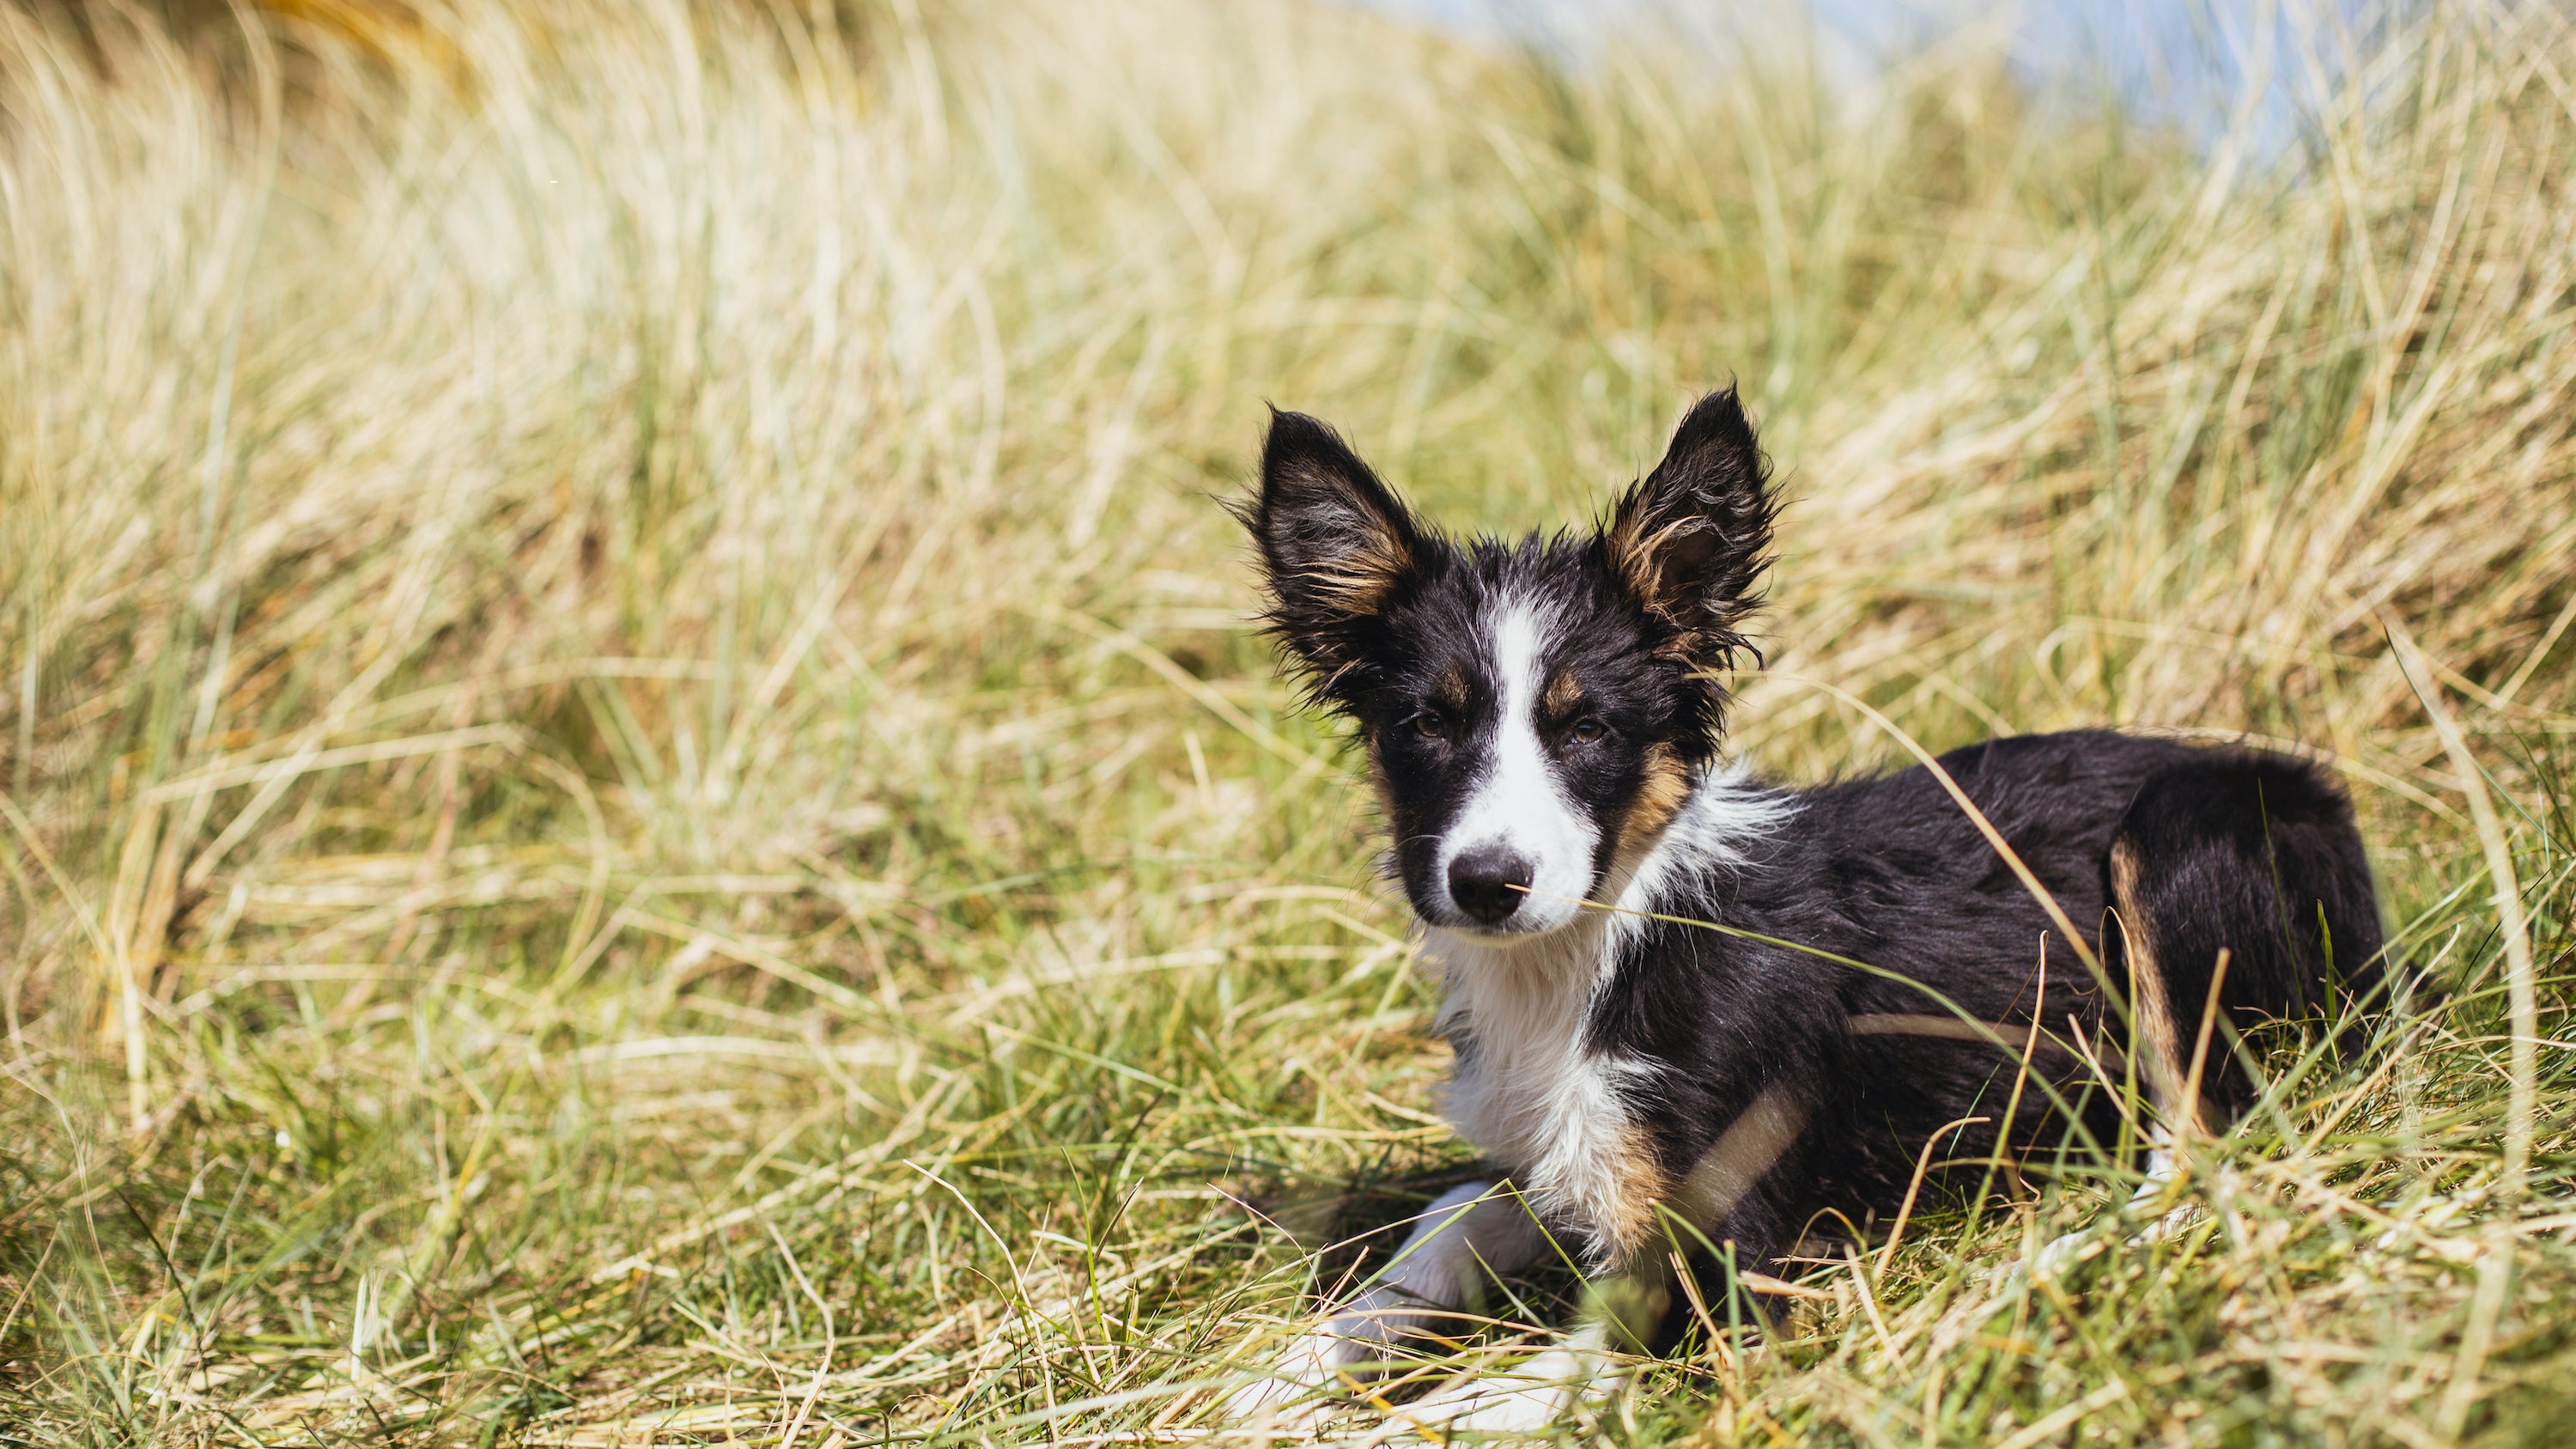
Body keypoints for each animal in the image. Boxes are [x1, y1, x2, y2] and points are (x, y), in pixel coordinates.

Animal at [1221, 389, 2370, 1422]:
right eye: (1426, 724)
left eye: (1587, 728)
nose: (1487, 882)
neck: (1606, 940)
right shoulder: (1561, 1153)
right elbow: (1451, 1213)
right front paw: (1288, 1368)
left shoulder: (1727, 1260)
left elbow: (1513, 1385)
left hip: (2173, 845)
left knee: (2200, 1157)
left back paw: (2025, 1277)